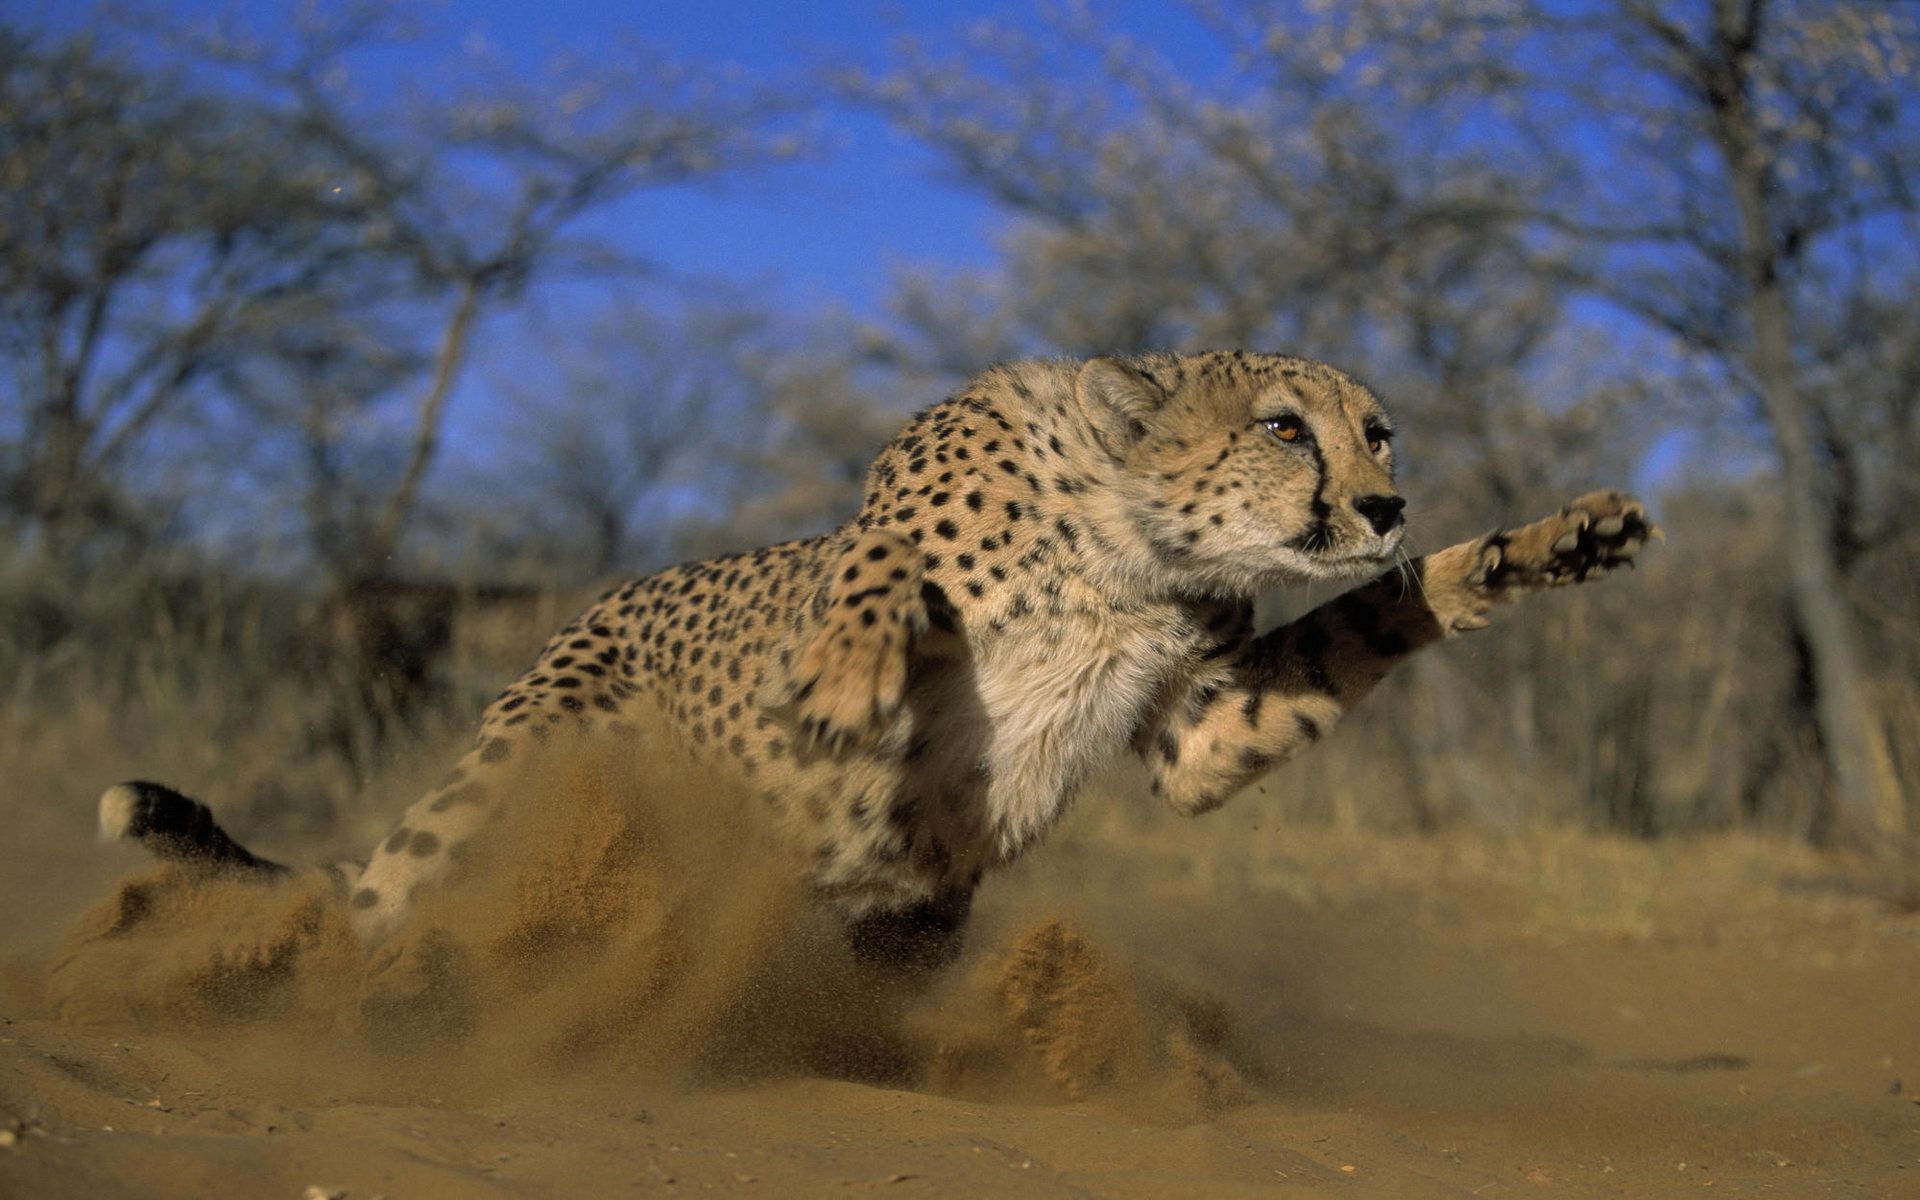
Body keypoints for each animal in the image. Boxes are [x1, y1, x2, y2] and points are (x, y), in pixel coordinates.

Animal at [100, 351, 1655, 971]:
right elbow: (874, 571)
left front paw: (1544, 545)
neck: (1127, 551)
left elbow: (1375, 620)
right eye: (1284, 427)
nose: (1387, 501)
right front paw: (851, 682)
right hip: (523, 761)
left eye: (1377, 432)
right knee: (383, 902)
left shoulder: (1203, 726)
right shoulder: (894, 510)